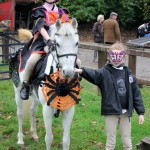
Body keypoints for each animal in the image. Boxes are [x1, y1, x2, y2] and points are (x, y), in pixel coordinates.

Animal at [10, 18, 81, 149]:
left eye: (76, 43)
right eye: (57, 44)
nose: (68, 72)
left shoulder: (69, 110)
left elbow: (66, 139)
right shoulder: (47, 109)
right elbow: (48, 138)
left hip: (35, 96)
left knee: (32, 111)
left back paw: (34, 134)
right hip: (18, 91)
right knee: (20, 114)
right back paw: (20, 140)